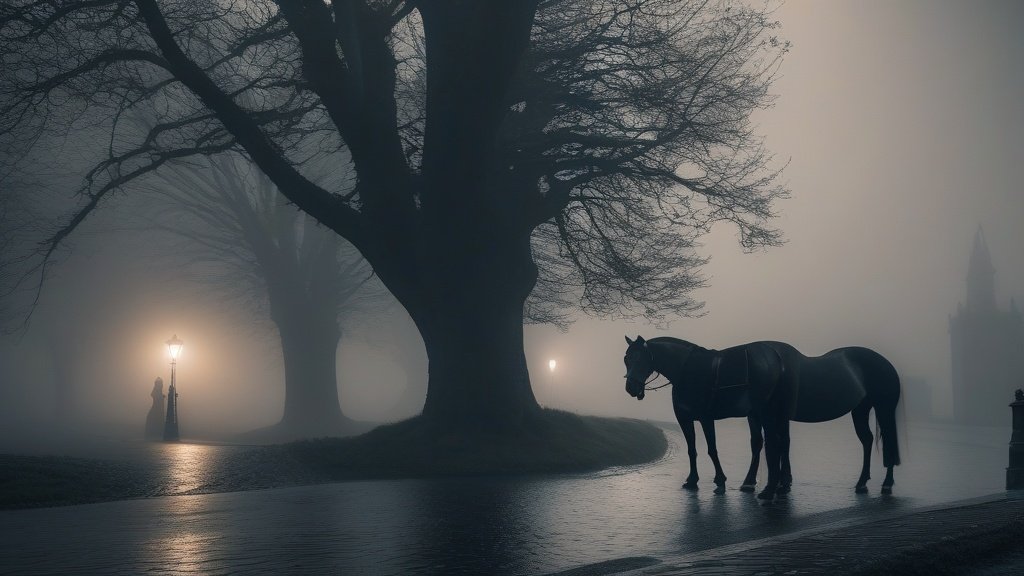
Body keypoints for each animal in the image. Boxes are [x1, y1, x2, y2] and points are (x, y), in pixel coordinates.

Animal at [623, 335, 901, 499]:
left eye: (642, 358)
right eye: (626, 358)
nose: (632, 388)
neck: (690, 370)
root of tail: (885, 363)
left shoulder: (705, 417)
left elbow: (713, 449)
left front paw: (721, 480)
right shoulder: (686, 418)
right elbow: (694, 449)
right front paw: (693, 480)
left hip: (884, 408)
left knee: (887, 441)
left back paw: (887, 483)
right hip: (860, 409)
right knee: (867, 441)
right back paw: (862, 482)